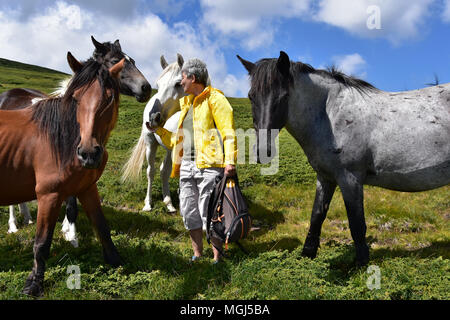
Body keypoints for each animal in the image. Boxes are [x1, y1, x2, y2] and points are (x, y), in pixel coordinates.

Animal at [0, 47, 151, 296]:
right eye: (76, 99)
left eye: (109, 98)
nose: (89, 153)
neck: (63, 139)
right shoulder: (49, 195)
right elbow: (42, 242)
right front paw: (34, 283)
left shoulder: (87, 189)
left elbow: (102, 227)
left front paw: (116, 261)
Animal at [121, 53, 186, 211]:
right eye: (158, 84)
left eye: (178, 83)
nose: (153, 117)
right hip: (151, 144)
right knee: (151, 171)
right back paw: (148, 203)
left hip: (169, 149)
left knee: (164, 171)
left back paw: (169, 203)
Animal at [237, 50, 448, 264]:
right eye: (251, 97)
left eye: (284, 96)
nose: (262, 151)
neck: (331, 115)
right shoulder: (326, 177)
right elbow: (317, 216)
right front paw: (307, 255)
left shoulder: (349, 179)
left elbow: (356, 224)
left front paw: (361, 264)